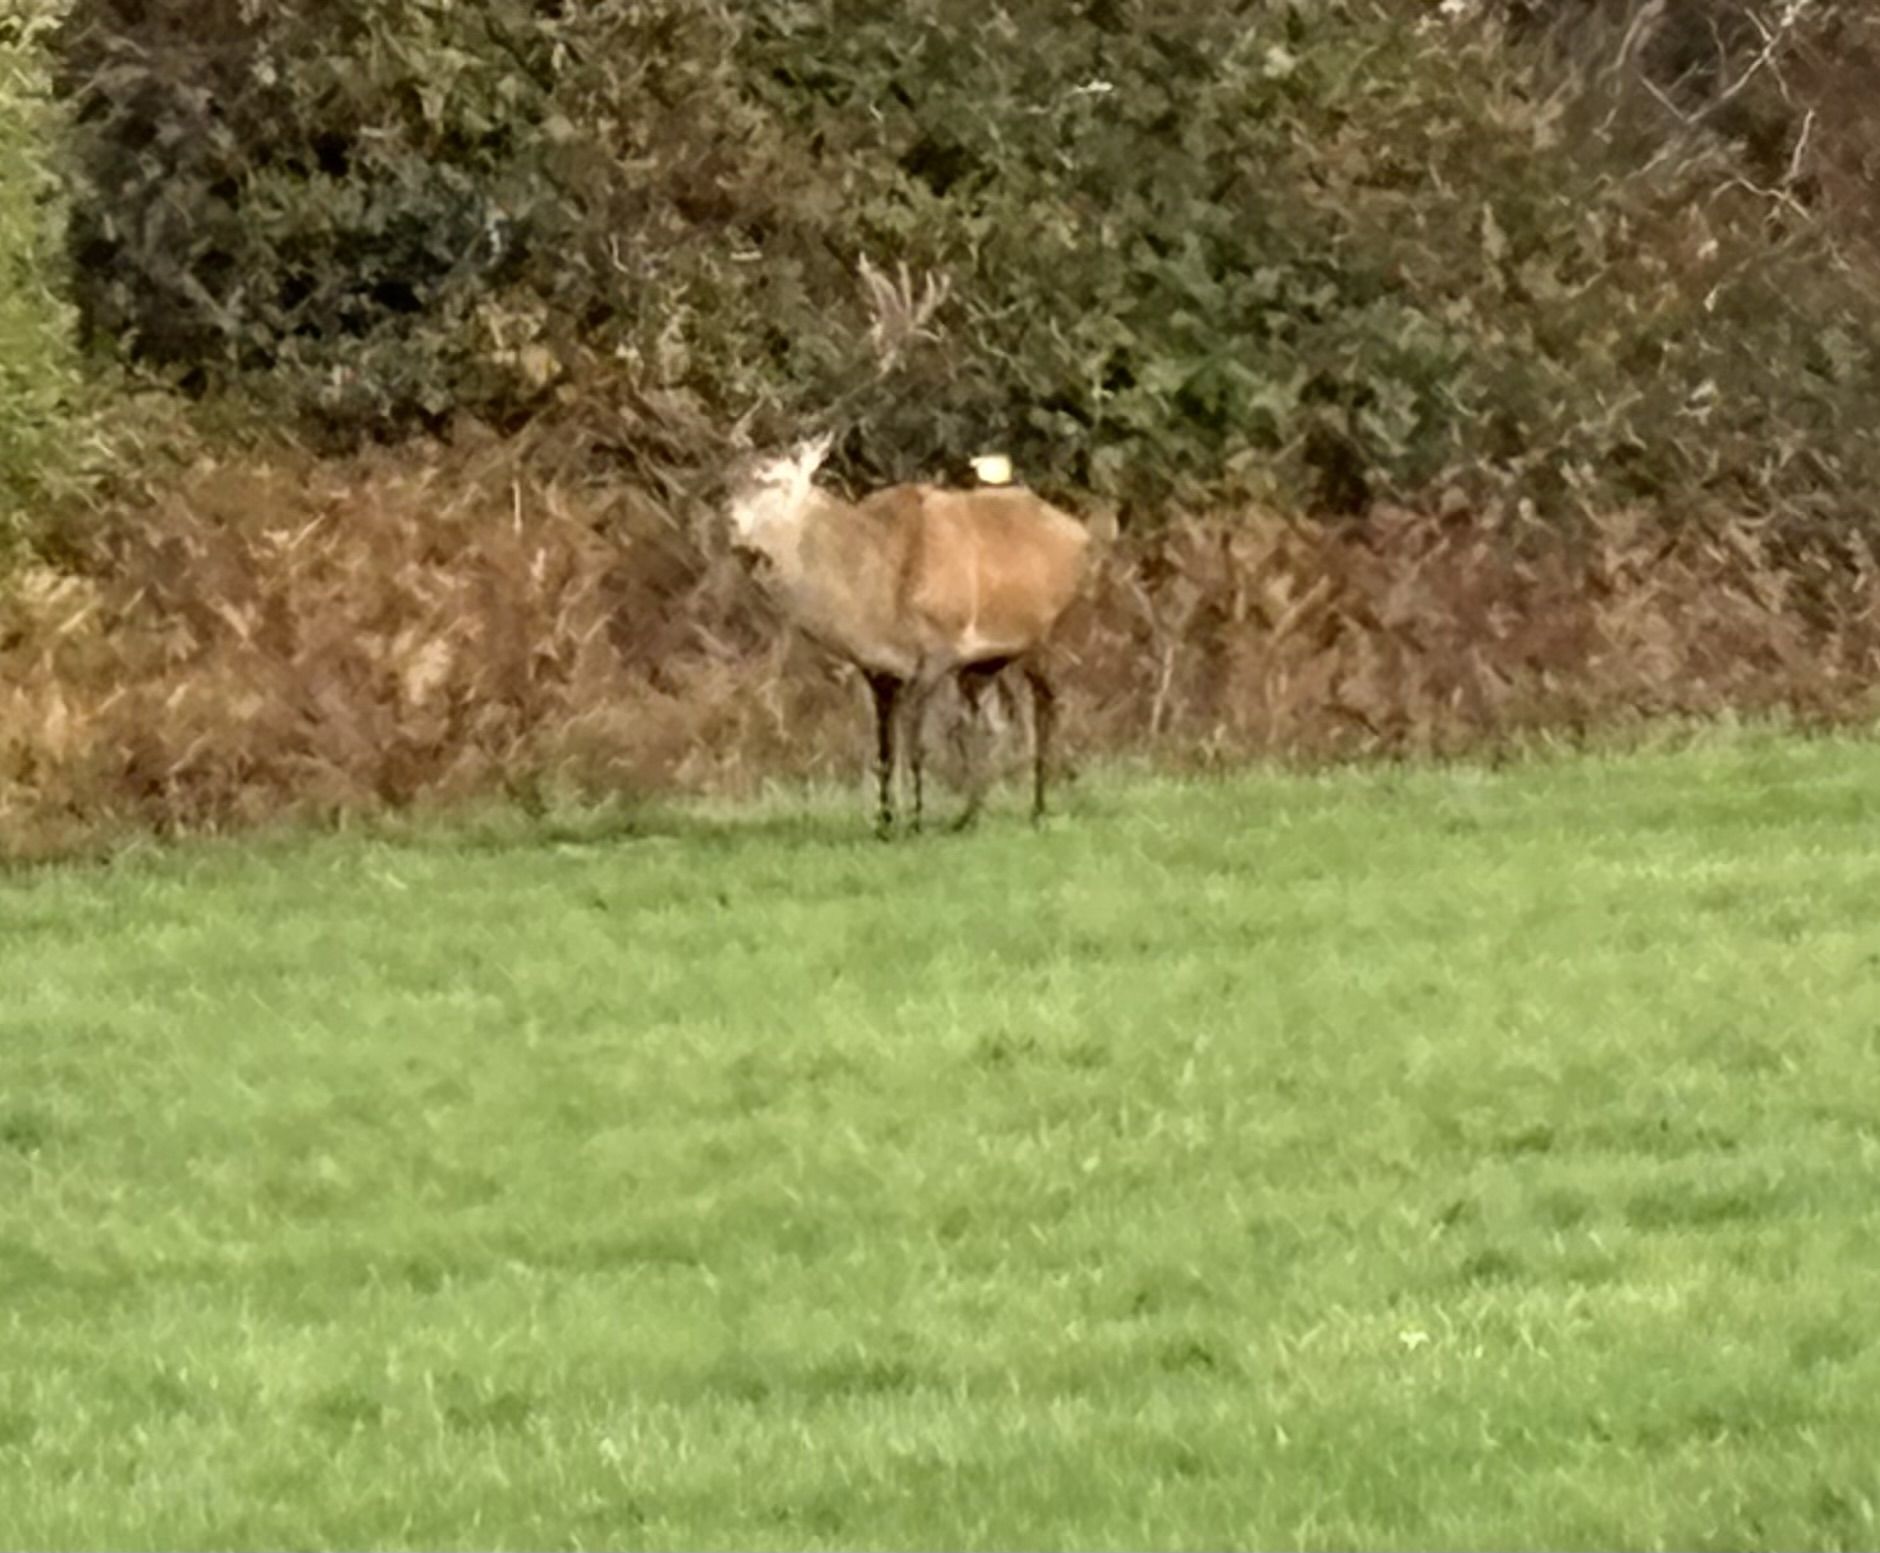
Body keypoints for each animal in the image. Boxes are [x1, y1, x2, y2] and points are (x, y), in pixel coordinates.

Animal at [724, 433, 1097, 837]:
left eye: (775, 481)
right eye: (731, 483)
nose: (732, 525)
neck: (877, 609)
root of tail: (1081, 534)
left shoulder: (936, 651)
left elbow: (919, 747)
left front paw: (916, 821)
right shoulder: (880, 672)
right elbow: (885, 752)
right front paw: (885, 823)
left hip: (1049, 632)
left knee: (1049, 705)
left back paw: (1038, 810)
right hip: (988, 661)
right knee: (991, 721)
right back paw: (969, 815)